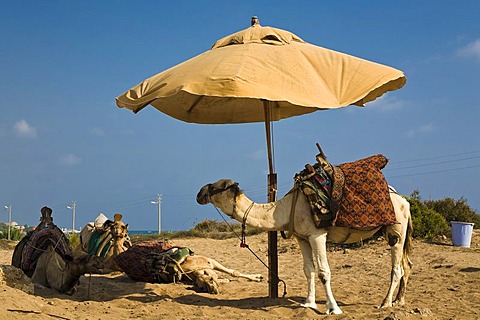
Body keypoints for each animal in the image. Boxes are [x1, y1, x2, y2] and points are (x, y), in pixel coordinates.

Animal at [197, 180, 414, 316]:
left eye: (217, 186)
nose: (199, 193)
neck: (283, 210)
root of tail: (405, 201)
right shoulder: (303, 238)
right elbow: (308, 270)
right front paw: (309, 303)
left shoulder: (317, 235)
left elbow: (324, 272)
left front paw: (333, 308)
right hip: (394, 230)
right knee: (407, 265)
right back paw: (399, 301)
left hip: (396, 229)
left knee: (397, 268)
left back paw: (385, 303)